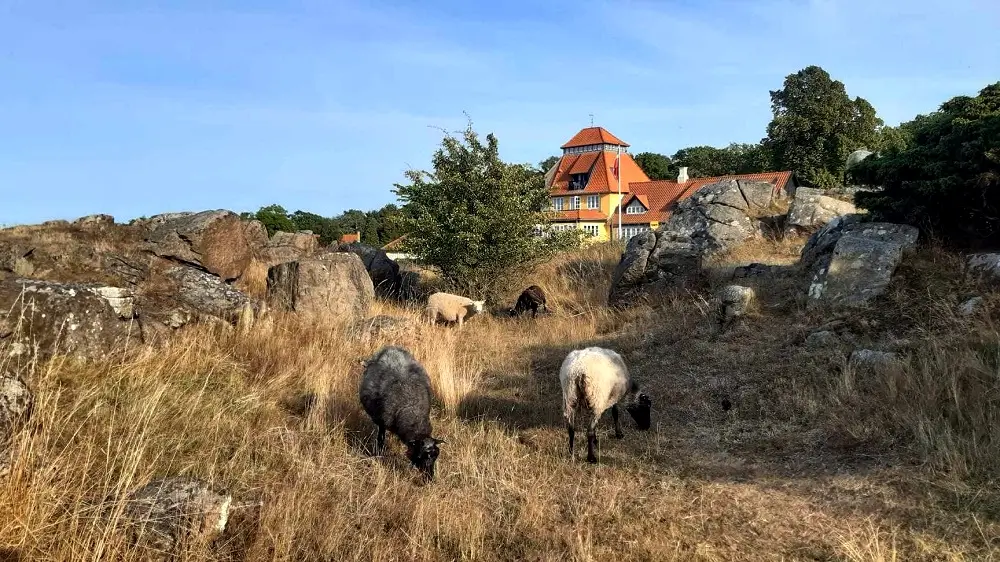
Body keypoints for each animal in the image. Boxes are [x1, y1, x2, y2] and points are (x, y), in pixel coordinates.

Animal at [356, 346, 442, 476]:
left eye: (436, 456)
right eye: (421, 456)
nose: (430, 477)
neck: (412, 408)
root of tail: (390, 348)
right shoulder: (382, 421)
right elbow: (380, 438)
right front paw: (378, 455)